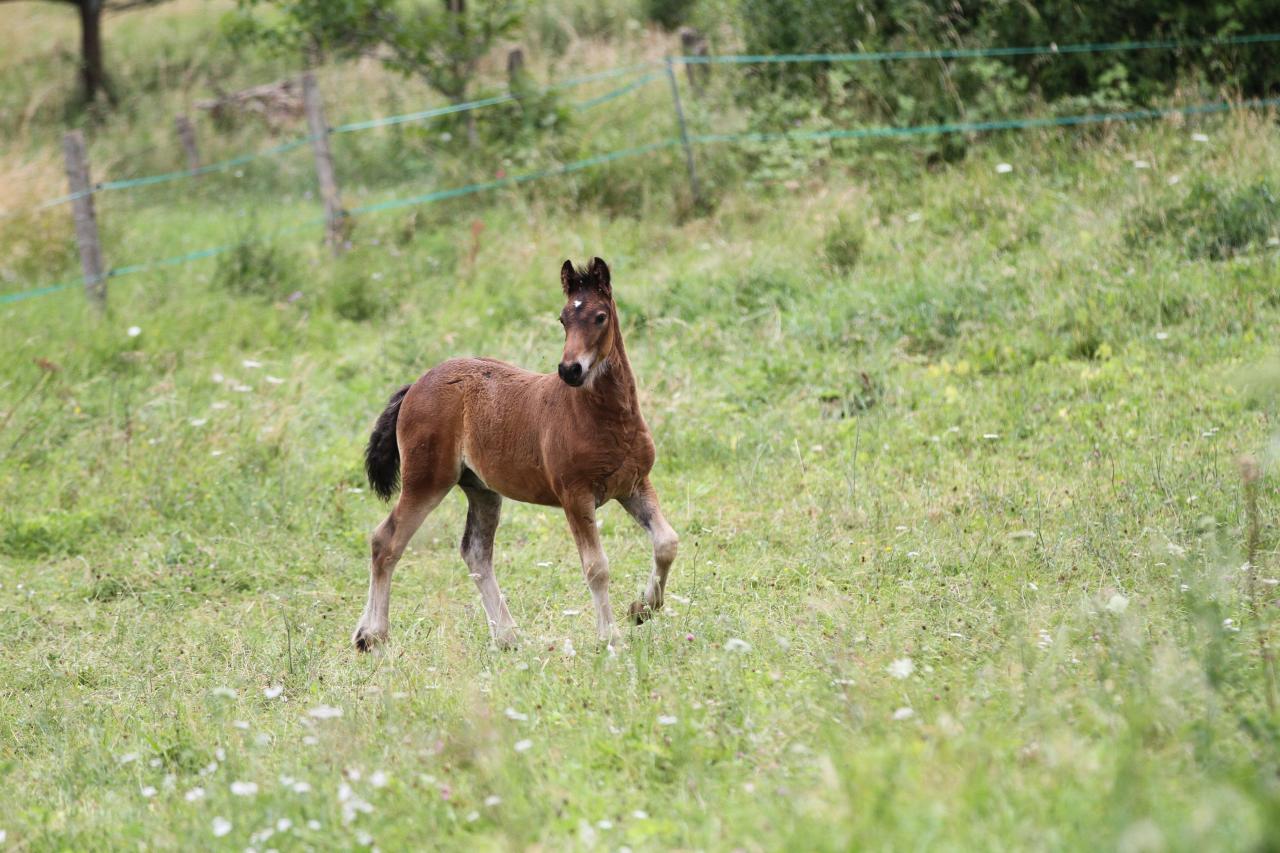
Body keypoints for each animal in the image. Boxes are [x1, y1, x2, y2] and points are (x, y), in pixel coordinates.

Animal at [355, 256, 680, 648]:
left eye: (600, 316)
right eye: (563, 318)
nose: (570, 370)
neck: (605, 418)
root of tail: (416, 384)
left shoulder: (634, 484)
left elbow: (666, 542)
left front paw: (641, 609)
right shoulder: (575, 495)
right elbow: (596, 566)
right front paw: (610, 636)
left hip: (481, 489)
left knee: (476, 553)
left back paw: (508, 637)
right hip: (426, 481)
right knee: (385, 541)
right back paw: (371, 636)